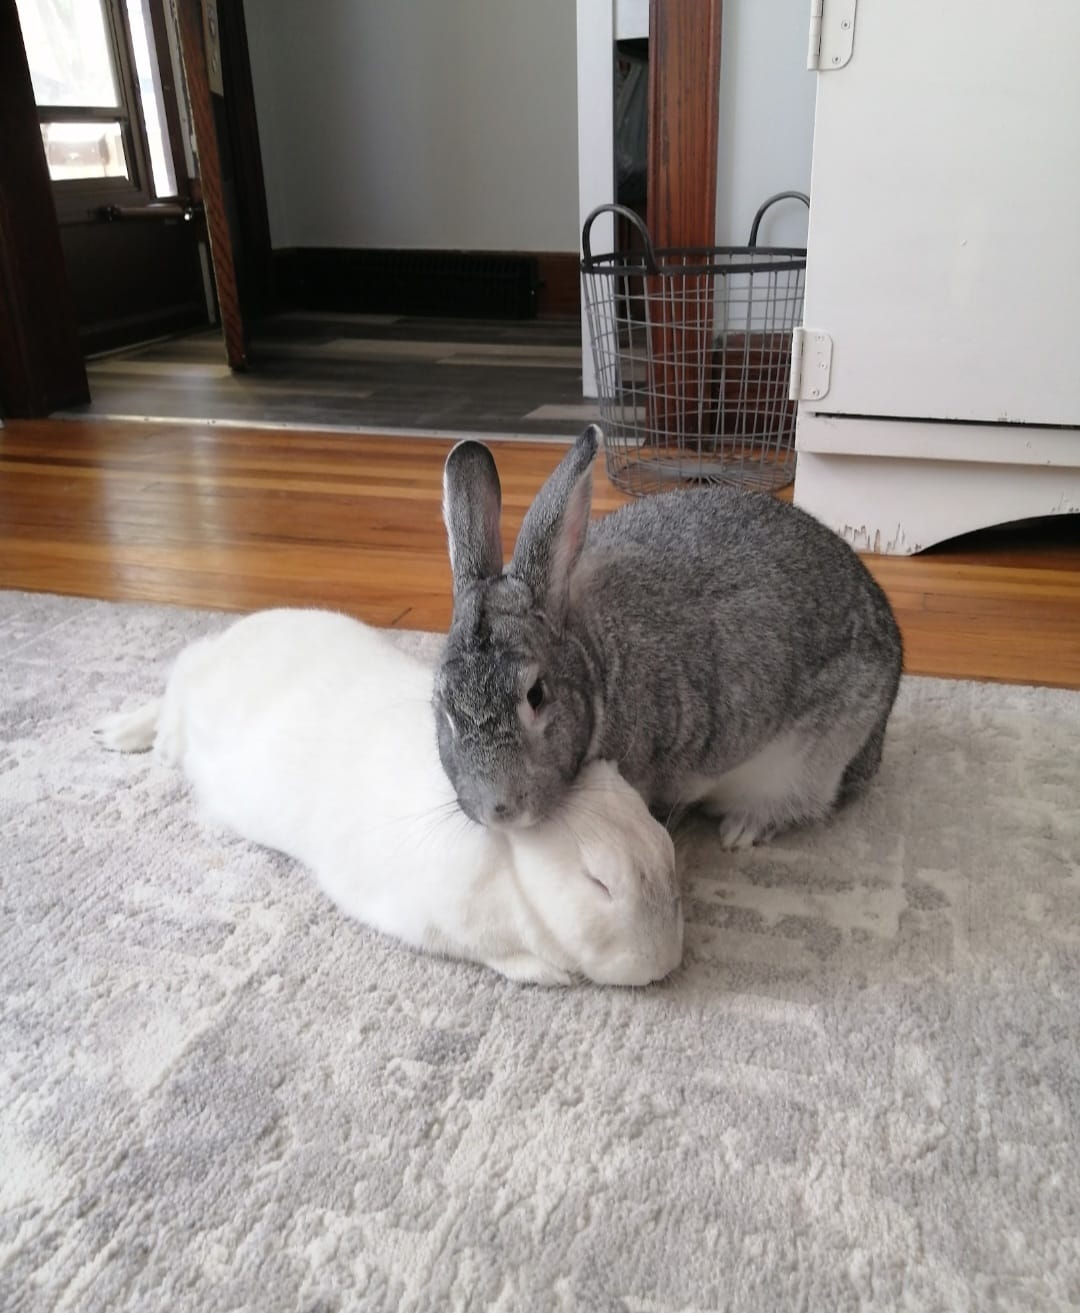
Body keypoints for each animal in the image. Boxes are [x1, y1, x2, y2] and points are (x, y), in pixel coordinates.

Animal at [95, 609, 683, 988]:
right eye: (598, 883)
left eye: (665, 847)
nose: (665, 960)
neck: (511, 863)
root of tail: (225, 644)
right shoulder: (429, 921)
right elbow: (502, 956)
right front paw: (550, 974)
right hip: (190, 697)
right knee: (171, 692)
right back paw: (118, 734)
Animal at [434, 424, 903, 849]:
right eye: (444, 709)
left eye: (536, 694)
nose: (501, 809)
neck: (592, 660)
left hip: (814, 757)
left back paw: (742, 830)